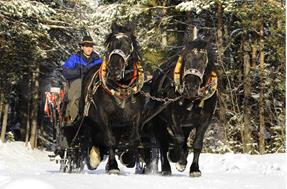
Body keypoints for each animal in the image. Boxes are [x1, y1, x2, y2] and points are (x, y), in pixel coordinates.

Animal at [80, 22, 144, 174]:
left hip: (118, 125)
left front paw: (129, 159)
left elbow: (134, 139)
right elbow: (110, 140)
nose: (114, 69)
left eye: (127, 45)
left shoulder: (136, 115)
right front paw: (113, 166)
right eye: (109, 45)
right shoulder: (104, 115)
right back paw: (93, 158)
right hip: (88, 117)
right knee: (90, 137)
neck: (122, 87)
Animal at [148, 38, 218, 177]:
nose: (191, 87)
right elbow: (179, 139)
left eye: (204, 62)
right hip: (158, 121)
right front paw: (176, 158)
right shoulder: (174, 118)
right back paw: (166, 168)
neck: (192, 99)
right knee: (163, 143)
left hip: (187, 125)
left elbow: (197, 144)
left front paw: (194, 169)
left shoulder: (204, 121)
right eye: (185, 59)